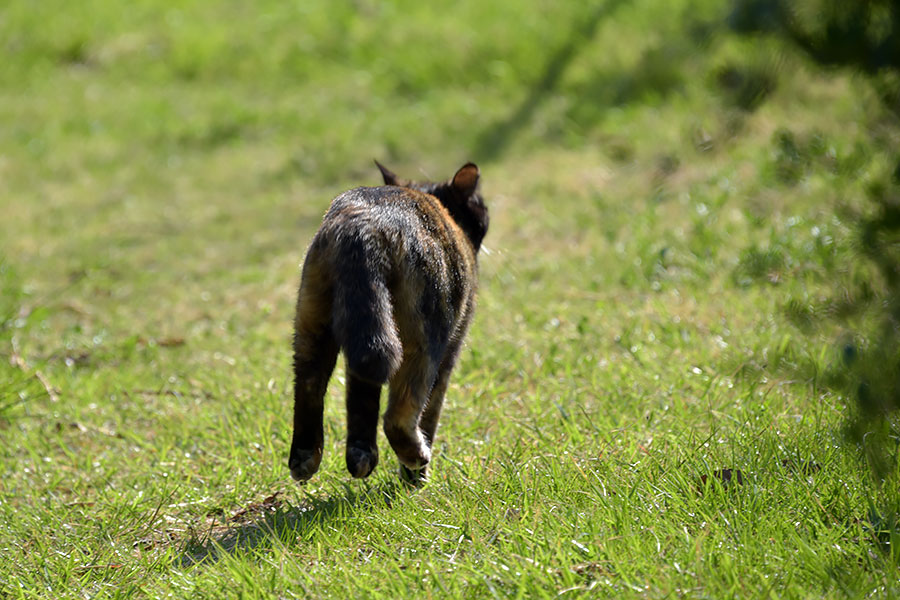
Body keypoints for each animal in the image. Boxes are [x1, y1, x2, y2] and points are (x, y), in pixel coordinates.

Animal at [288, 162, 488, 486]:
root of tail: (362, 226)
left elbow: (359, 396)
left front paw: (361, 456)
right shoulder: (451, 351)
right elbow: (431, 412)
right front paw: (413, 478)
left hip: (318, 327)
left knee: (313, 386)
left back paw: (316, 459)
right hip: (424, 340)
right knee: (399, 416)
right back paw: (417, 460)